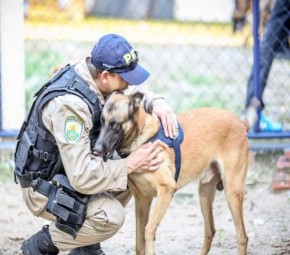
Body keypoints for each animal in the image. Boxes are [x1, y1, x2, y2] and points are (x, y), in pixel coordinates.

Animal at [93, 91, 249, 255]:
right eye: (101, 122)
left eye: (115, 124)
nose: (95, 150)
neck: (141, 138)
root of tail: (241, 122)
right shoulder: (142, 200)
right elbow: (139, 243)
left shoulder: (166, 190)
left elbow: (149, 230)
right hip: (204, 195)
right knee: (210, 231)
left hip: (232, 192)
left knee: (242, 236)